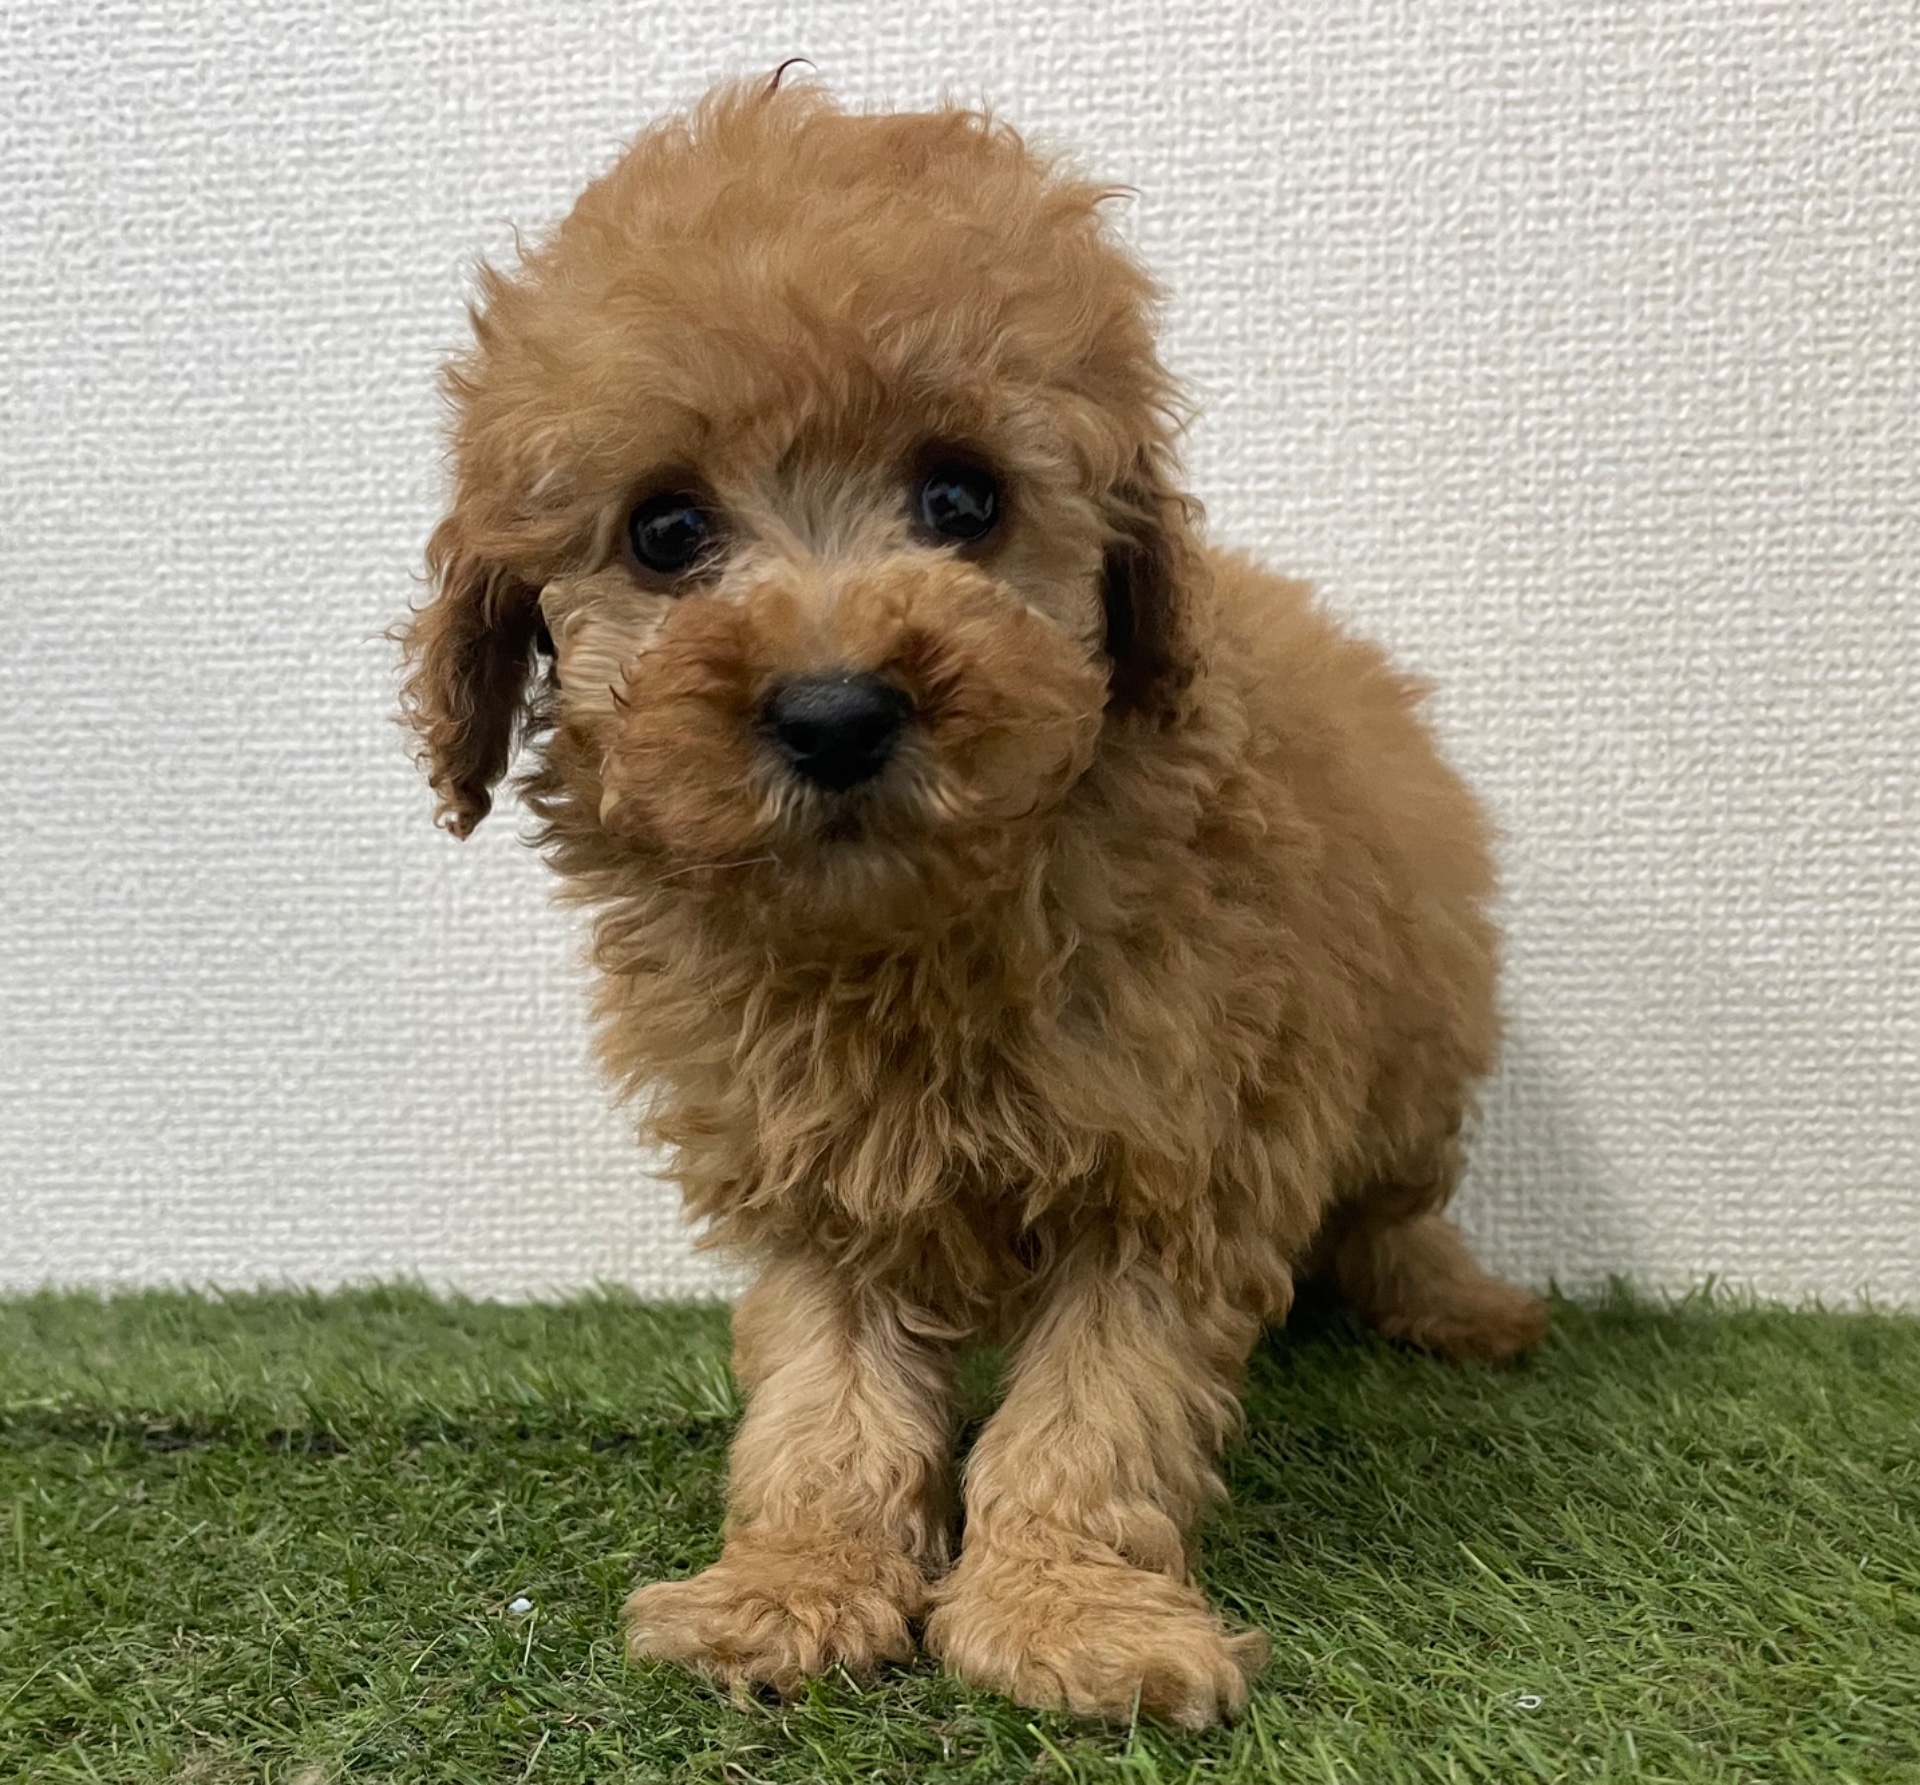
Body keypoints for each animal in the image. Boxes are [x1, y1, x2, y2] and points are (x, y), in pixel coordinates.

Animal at [399, 76, 1547, 1729]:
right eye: (666, 532)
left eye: (963, 497)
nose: (833, 713)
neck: (900, 937)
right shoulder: (812, 1169)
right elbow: (825, 1401)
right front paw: (792, 1585)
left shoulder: (1173, 1151)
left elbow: (1092, 1412)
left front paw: (1068, 1614)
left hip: (1415, 1051)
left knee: (1396, 1201)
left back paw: (1461, 1305)